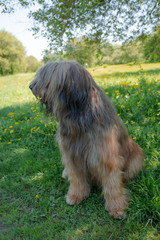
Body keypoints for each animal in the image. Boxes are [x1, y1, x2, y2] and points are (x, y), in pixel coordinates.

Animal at [29, 61, 144, 218]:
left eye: (46, 77)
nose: (31, 86)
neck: (76, 114)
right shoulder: (71, 154)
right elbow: (76, 178)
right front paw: (76, 196)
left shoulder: (105, 155)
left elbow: (112, 183)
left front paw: (116, 207)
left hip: (136, 157)